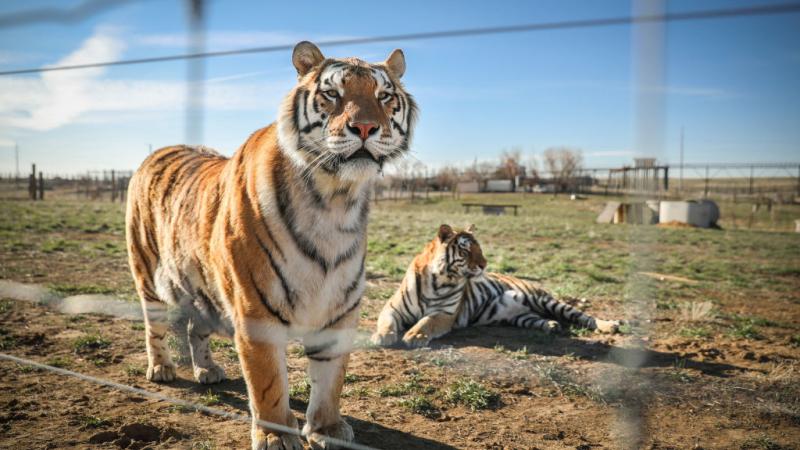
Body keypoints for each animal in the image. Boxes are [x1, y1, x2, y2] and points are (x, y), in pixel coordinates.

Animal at [125, 41, 417, 450]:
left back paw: (207, 369)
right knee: (154, 326)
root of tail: (157, 151)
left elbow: (330, 380)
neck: (335, 199)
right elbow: (268, 383)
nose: (364, 127)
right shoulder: (255, 310)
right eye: (333, 93)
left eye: (384, 96)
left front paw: (327, 429)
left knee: (195, 328)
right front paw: (275, 435)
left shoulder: (340, 309)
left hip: (202, 286)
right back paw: (162, 369)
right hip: (147, 272)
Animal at [371, 224, 621, 348]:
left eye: (479, 249)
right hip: (521, 316)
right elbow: (386, 322)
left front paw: (415, 336)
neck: (438, 279)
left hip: (544, 299)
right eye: (466, 250)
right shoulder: (392, 308)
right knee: (538, 319)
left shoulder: (445, 314)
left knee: (582, 316)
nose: (484, 264)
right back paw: (552, 326)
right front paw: (381, 336)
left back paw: (609, 325)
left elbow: (426, 322)